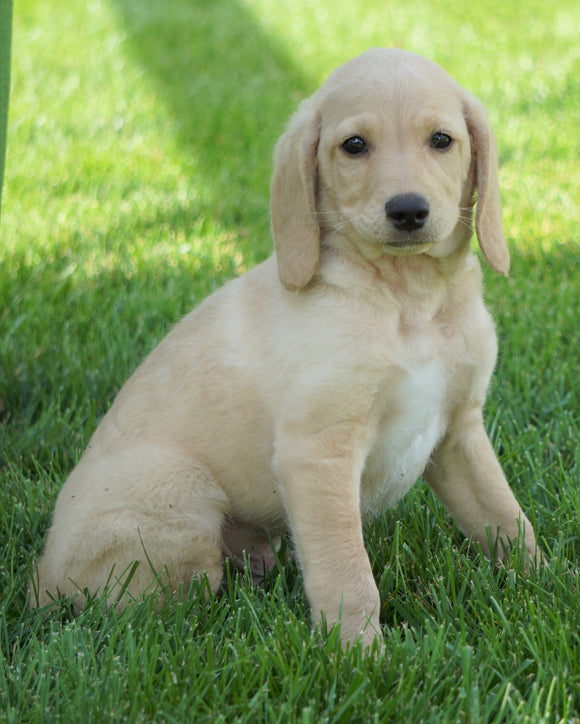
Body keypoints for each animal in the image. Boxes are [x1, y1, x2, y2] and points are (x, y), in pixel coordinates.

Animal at [30, 49, 540, 644]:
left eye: (442, 140)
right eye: (354, 145)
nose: (408, 211)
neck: (407, 301)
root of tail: (38, 583)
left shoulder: (459, 432)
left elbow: (506, 519)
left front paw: (545, 581)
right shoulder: (318, 451)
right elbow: (347, 572)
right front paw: (358, 653)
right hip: (176, 489)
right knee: (155, 607)